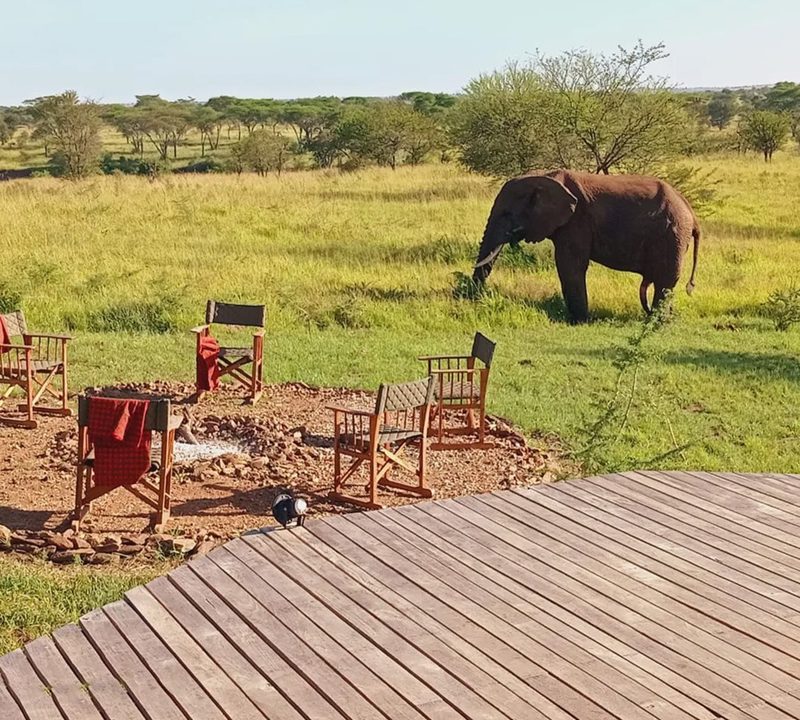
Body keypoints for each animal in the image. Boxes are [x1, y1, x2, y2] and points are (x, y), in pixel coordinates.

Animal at [471, 169, 701, 323]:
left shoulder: (577, 221)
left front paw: (578, 321)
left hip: (673, 234)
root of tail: (691, 212)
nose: (473, 294)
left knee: (665, 280)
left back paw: (657, 322)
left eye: (507, 214)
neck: (543, 177)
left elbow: (570, 265)